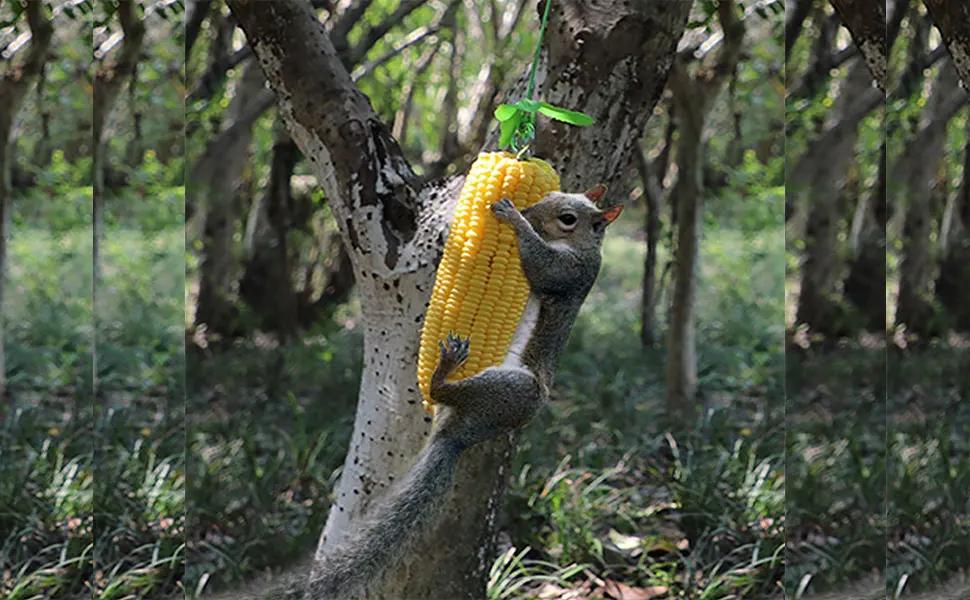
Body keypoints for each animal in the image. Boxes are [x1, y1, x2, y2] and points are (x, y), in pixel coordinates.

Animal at [307, 186, 623, 599]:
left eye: (568, 218)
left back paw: (446, 368)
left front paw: (512, 217)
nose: (531, 212)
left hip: (512, 388)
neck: (580, 244)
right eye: (552, 194)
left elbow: (542, 266)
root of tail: (464, 434)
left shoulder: (571, 274)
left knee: (442, 390)